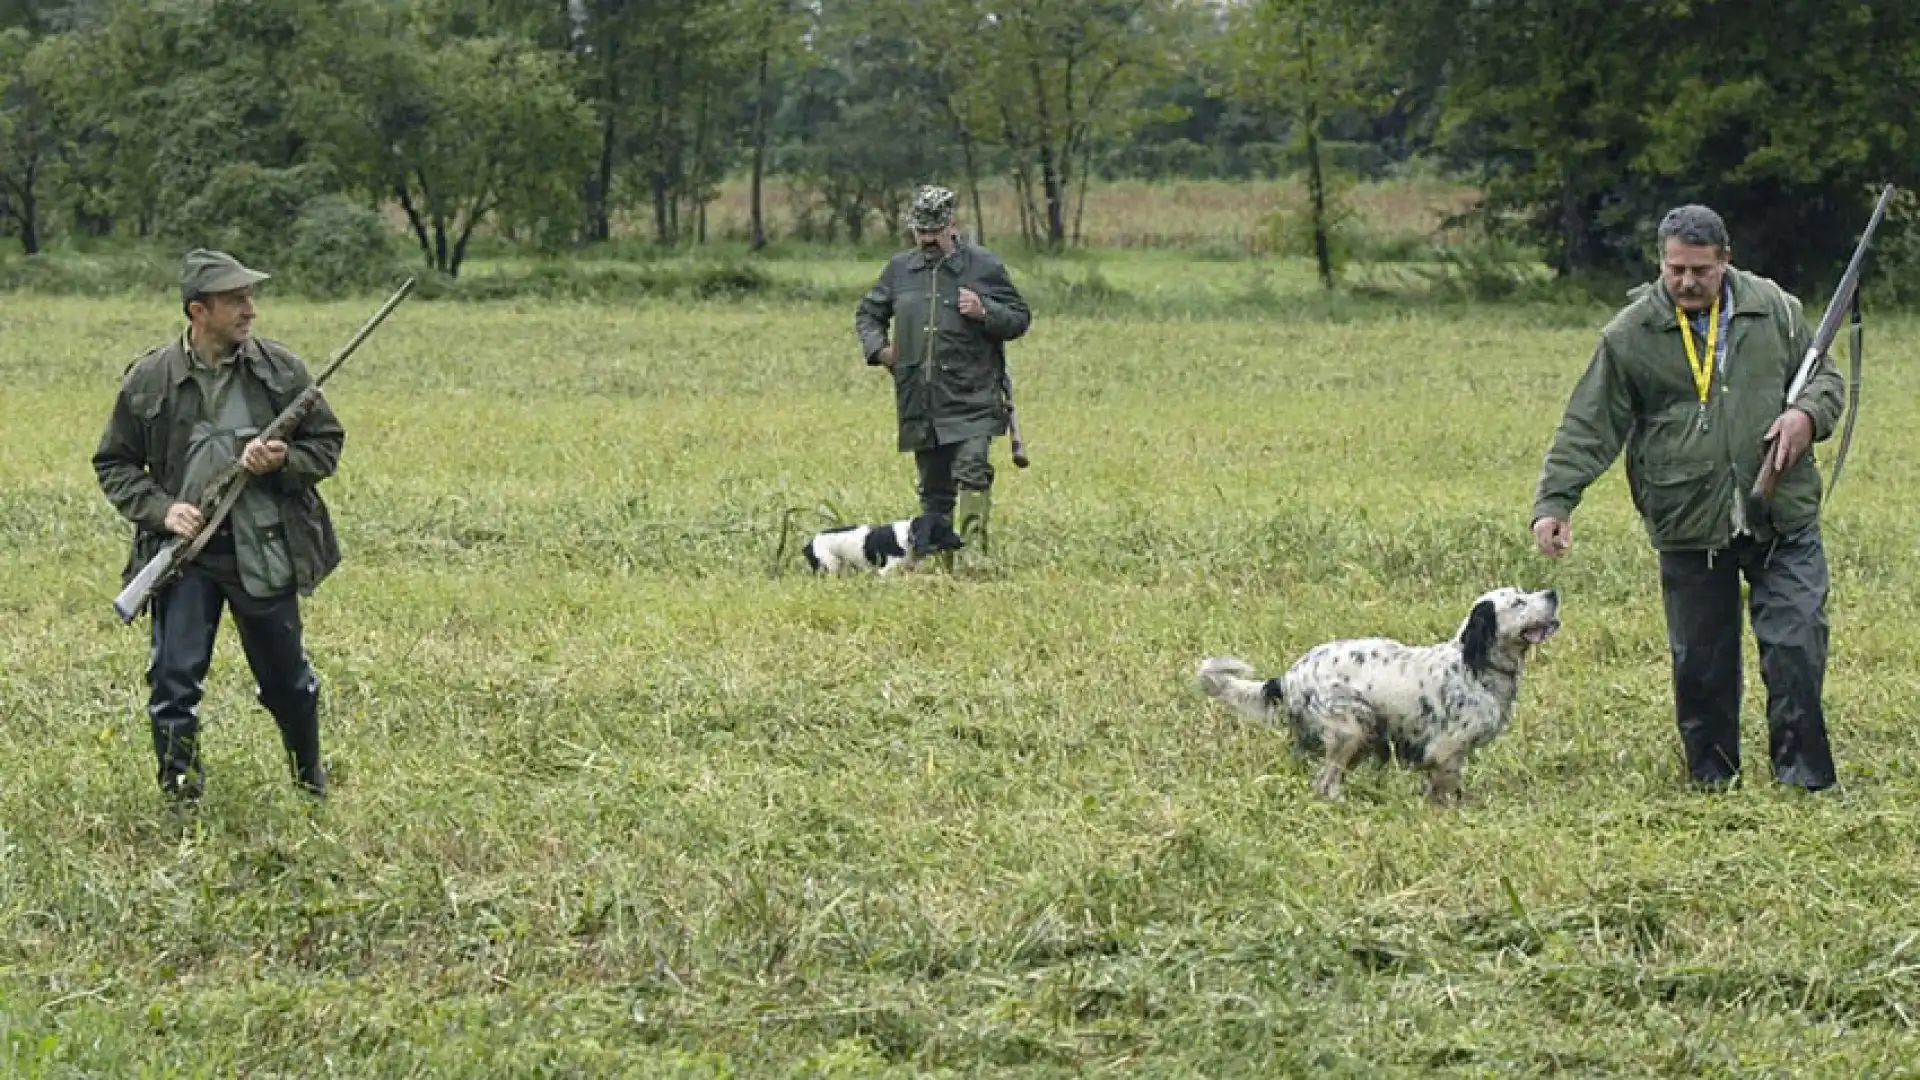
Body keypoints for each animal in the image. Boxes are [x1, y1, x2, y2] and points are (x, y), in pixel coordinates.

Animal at [802, 511, 967, 572]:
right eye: (945, 530)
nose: (963, 542)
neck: (907, 538)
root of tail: (809, 544)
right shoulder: (885, 572)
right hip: (829, 566)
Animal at [1198, 584, 1559, 803]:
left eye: (1524, 591)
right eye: (1518, 602)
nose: (1552, 592)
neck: (1473, 665)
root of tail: (1288, 677)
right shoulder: (1446, 750)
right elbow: (1446, 791)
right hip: (1351, 728)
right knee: (1325, 782)